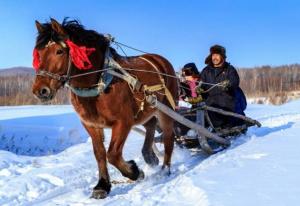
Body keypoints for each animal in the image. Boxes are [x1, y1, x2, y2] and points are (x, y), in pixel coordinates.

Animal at [31, 18, 179, 199]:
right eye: (38, 54)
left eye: (59, 51)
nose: (40, 90)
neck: (100, 83)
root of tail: (159, 60)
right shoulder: (90, 124)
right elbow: (100, 153)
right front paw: (102, 185)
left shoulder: (123, 122)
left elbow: (112, 154)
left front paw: (134, 171)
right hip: (146, 110)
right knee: (150, 126)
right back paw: (149, 156)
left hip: (166, 109)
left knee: (168, 137)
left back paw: (165, 169)